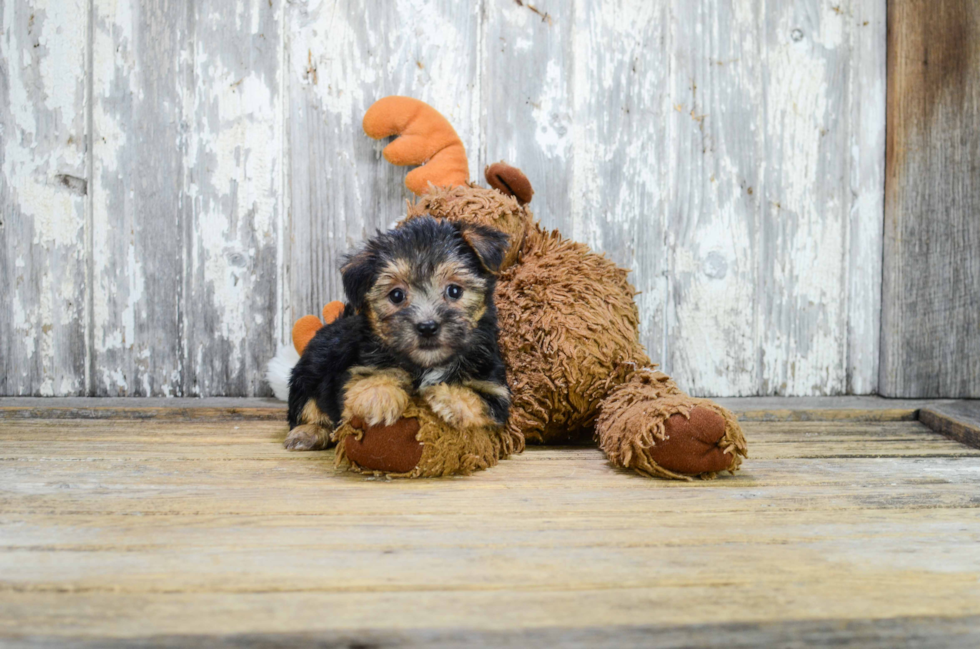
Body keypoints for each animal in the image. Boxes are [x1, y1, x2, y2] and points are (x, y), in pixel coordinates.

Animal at [284, 215, 510, 448]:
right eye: (396, 295)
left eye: (454, 290)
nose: (427, 327)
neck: (425, 366)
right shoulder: (355, 370)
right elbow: (361, 384)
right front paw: (381, 396)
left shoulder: (494, 386)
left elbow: (480, 399)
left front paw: (445, 395)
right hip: (308, 372)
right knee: (306, 405)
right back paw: (308, 432)